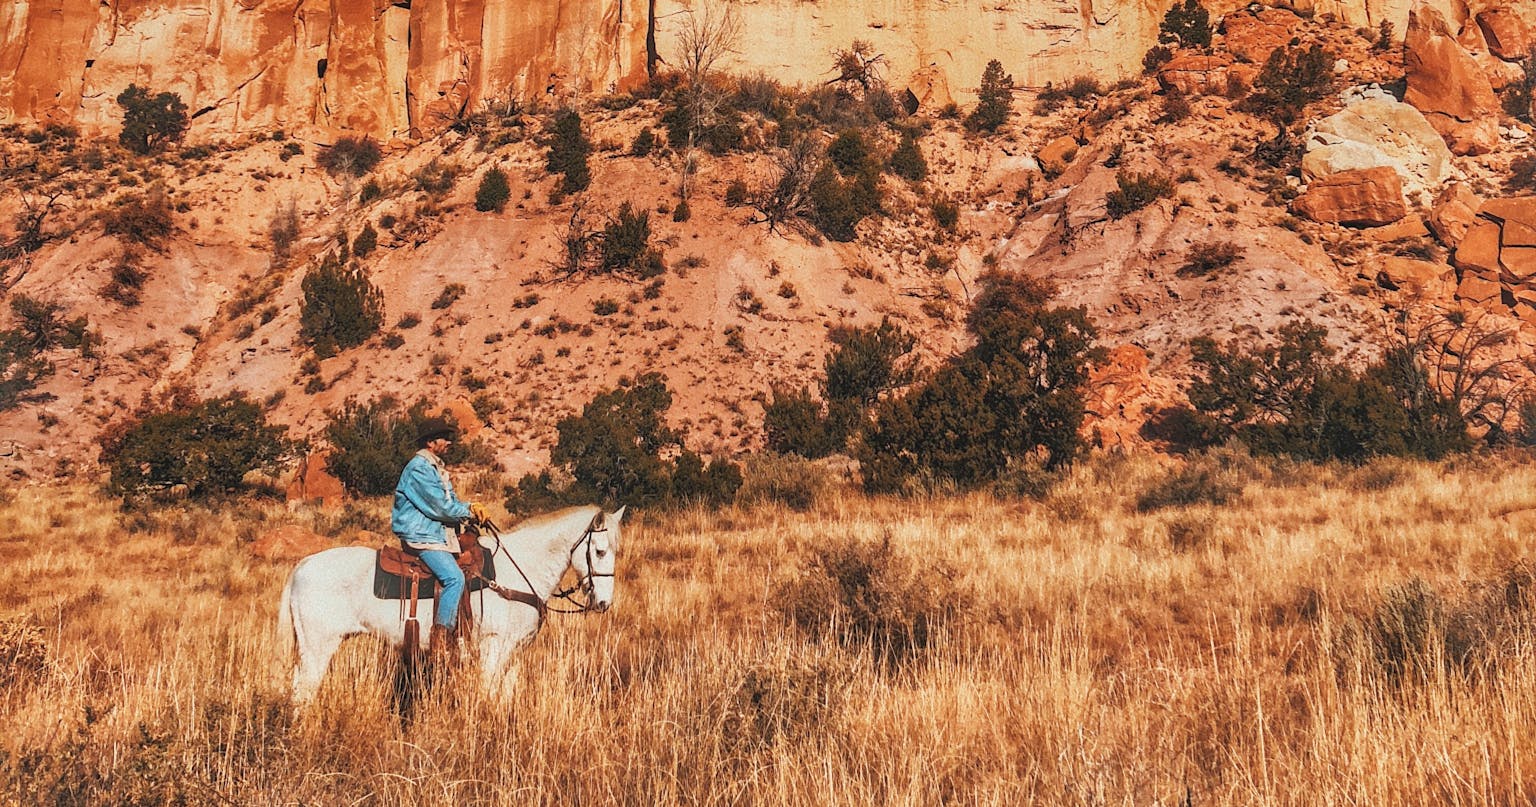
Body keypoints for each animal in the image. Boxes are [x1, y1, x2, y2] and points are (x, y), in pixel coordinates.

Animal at [277, 504, 624, 702]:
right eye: (600, 551)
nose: (603, 602)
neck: (518, 570)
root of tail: (302, 565)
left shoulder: (514, 651)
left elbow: (505, 696)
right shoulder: (493, 646)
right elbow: (488, 694)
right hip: (319, 647)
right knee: (303, 693)